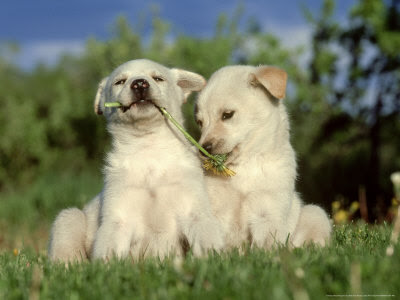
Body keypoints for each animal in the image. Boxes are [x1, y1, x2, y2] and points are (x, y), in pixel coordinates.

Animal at [48, 59, 223, 262]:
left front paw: (214, 258)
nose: (139, 84)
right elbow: (109, 250)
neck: (148, 151)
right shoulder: (118, 216)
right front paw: (108, 265)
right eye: (120, 81)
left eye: (158, 78)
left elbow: (206, 237)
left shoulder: (194, 208)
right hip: (68, 218)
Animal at [195, 65, 332, 248]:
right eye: (200, 123)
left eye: (227, 114)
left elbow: (267, 246)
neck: (245, 166)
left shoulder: (268, 213)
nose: (204, 149)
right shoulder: (214, 210)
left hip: (315, 213)